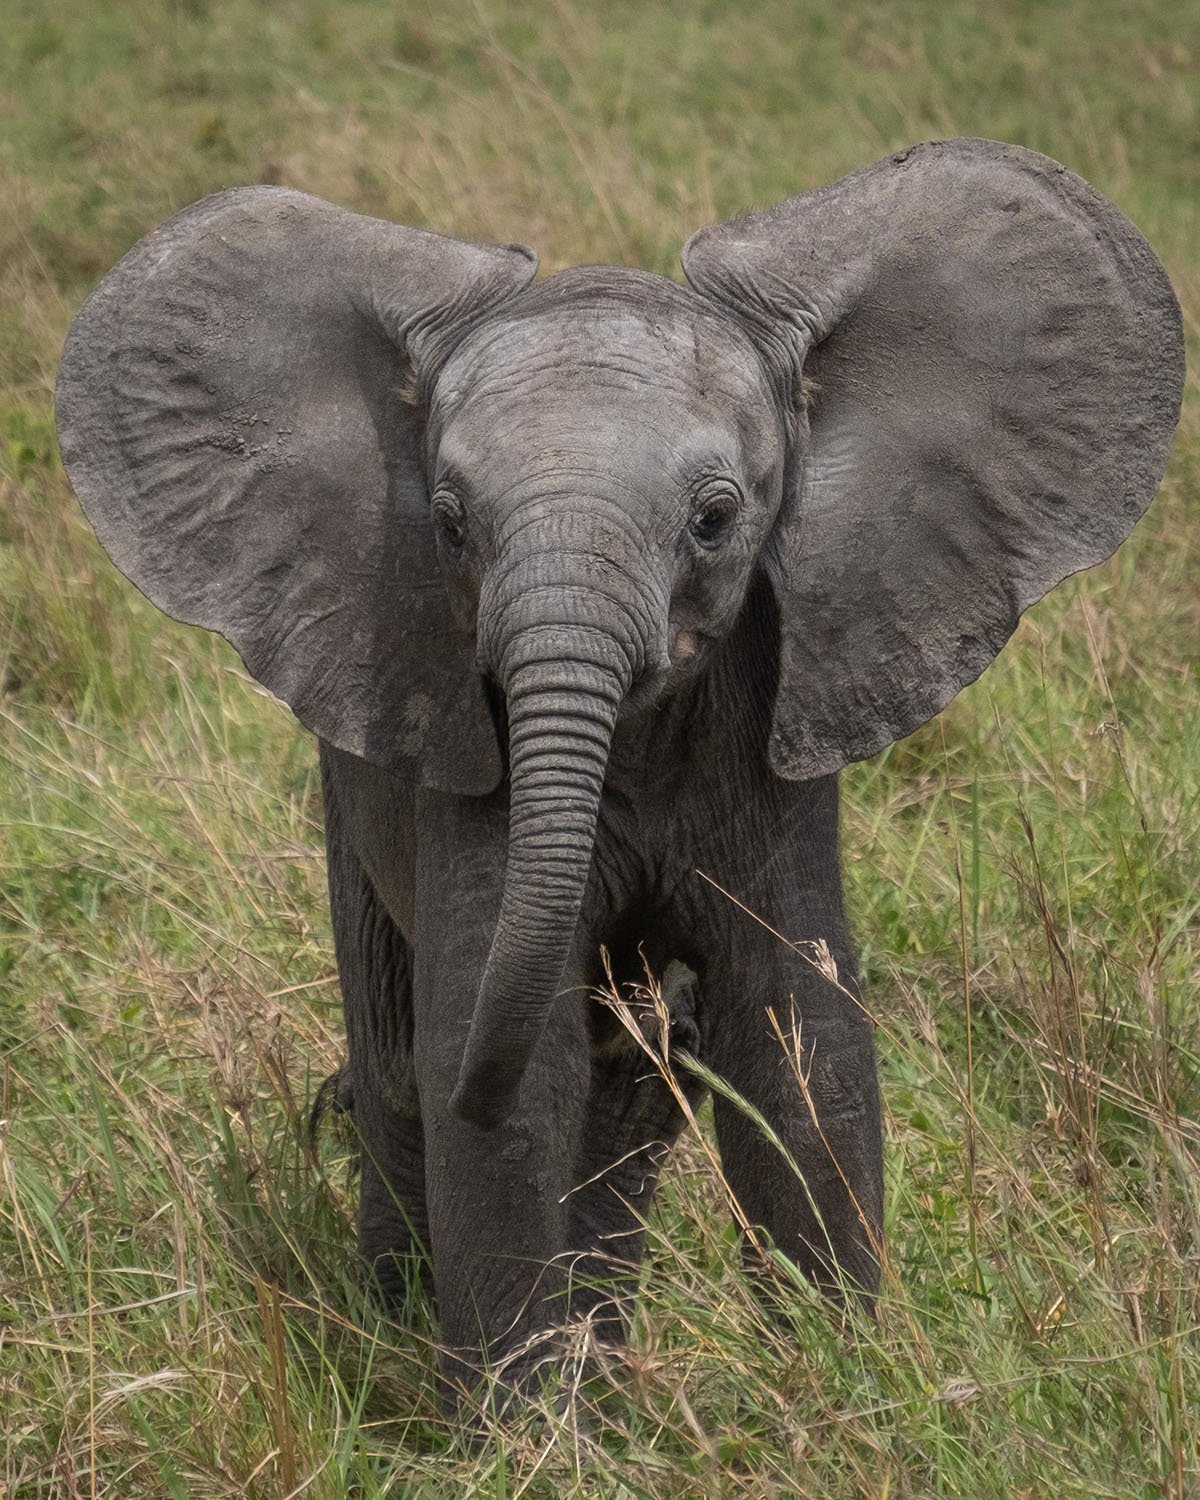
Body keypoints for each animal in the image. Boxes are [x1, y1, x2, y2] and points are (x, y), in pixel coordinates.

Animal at [58, 138, 1182, 1392]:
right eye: (450, 525)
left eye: (715, 518)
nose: (661, 1020)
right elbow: (509, 1066)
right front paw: (521, 1426)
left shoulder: (769, 734)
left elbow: (801, 1043)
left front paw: (841, 1396)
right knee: (398, 1058)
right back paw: (408, 1327)